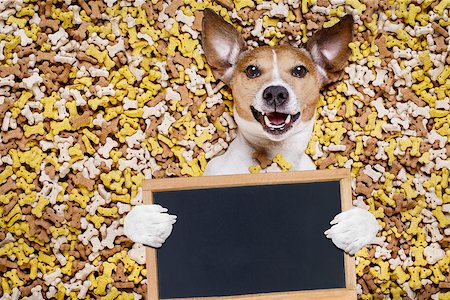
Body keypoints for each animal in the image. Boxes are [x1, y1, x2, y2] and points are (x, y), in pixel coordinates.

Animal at [123, 9, 380, 255]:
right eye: (252, 70)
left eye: (299, 70)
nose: (275, 92)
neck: (271, 158)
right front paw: (145, 222)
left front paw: (356, 226)